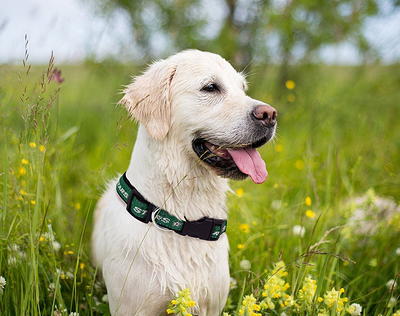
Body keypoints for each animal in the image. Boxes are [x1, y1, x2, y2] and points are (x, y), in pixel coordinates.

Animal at [92, 50, 276, 316]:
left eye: (243, 88)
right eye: (210, 87)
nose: (270, 115)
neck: (183, 219)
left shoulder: (212, 305)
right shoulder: (132, 307)